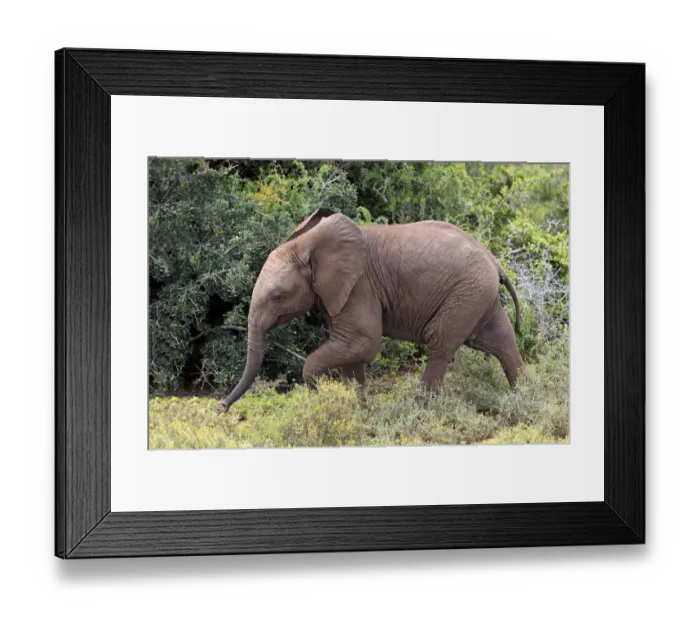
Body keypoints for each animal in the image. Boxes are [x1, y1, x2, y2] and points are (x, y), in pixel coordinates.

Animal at [218, 208, 524, 412]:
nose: (221, 407)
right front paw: (358, 410)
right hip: (477, 294)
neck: (309, 245)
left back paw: (416, 409)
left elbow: (362, 343)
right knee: (501, 339)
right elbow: (352, 354)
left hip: (466, 293)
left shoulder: (359, 286)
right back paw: (526, 397)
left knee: (440, 343)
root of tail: (494, 260)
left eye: (277, 296)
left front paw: (324, 396)